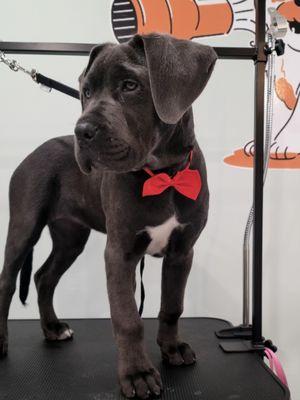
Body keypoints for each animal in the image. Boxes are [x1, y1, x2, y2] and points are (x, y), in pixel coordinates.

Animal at [0, 33, 217, 396]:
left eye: (130, 85)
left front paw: (171, 348)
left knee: (44, 277)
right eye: (86, 92)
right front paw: (137, 374)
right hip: (23, 226)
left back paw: (52, 328)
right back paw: (1, 342)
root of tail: (34, 152)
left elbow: (173, 306)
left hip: (70, 237)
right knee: (7, 281)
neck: (164, 174)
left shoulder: (182, 252)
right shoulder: (120, 253)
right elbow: (128, 319)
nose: (81, 131)